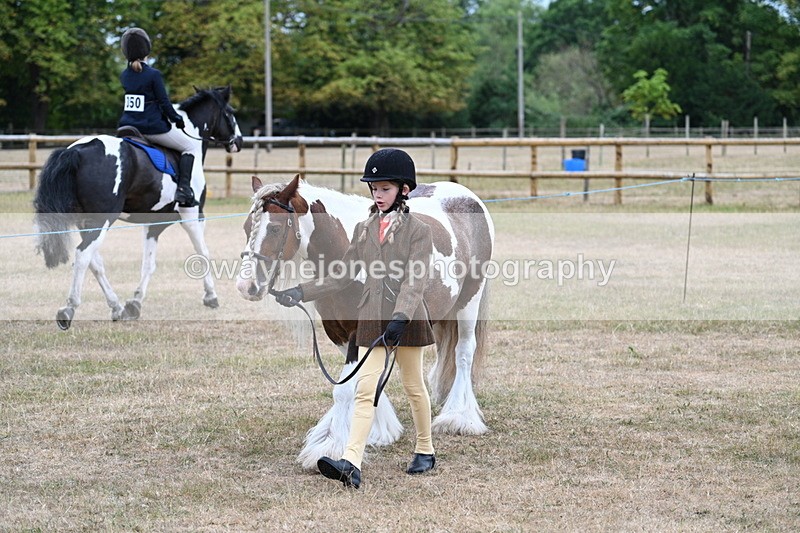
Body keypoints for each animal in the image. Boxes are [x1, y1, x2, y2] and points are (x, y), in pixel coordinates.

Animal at [33, 86, 243, 330]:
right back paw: (68, 309)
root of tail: (77, 151)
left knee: (95, 261)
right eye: (230, 113)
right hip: (102, 220)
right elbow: (202, 253)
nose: (239, 141)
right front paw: (211, 296)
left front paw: (133, 304)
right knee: (83, 255)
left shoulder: (155, 223)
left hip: (85, 222)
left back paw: (116, 307)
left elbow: (148, 264)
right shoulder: (192, 215)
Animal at [235, 174, 494, 469]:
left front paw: (331, 446)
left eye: (276, 229)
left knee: (464, 352)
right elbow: (359, 380)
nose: (246, 286)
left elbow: (345, 389)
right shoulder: (339, 333)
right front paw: (379, 431)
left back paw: (458, 418)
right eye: (246, 227)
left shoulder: (358, 333)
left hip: (469, 301)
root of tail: (466, 195)